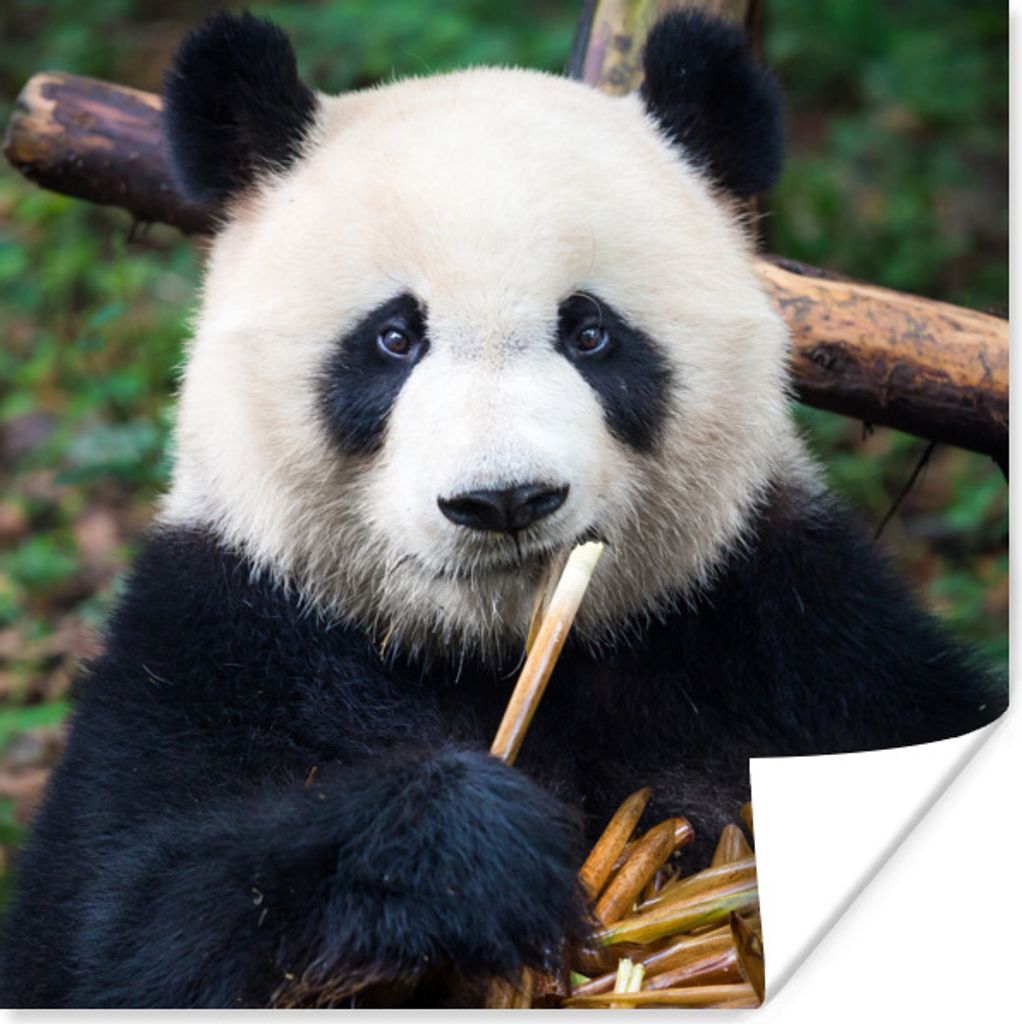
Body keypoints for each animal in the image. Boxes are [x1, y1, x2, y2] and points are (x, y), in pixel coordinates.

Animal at [1, 9, 1005, 1008]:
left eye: (591, 331)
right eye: (394, 338)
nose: (504, 499)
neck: (495, 650)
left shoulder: (793, 631)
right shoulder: (217, 645)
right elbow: (111, 934)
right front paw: (468, 852)